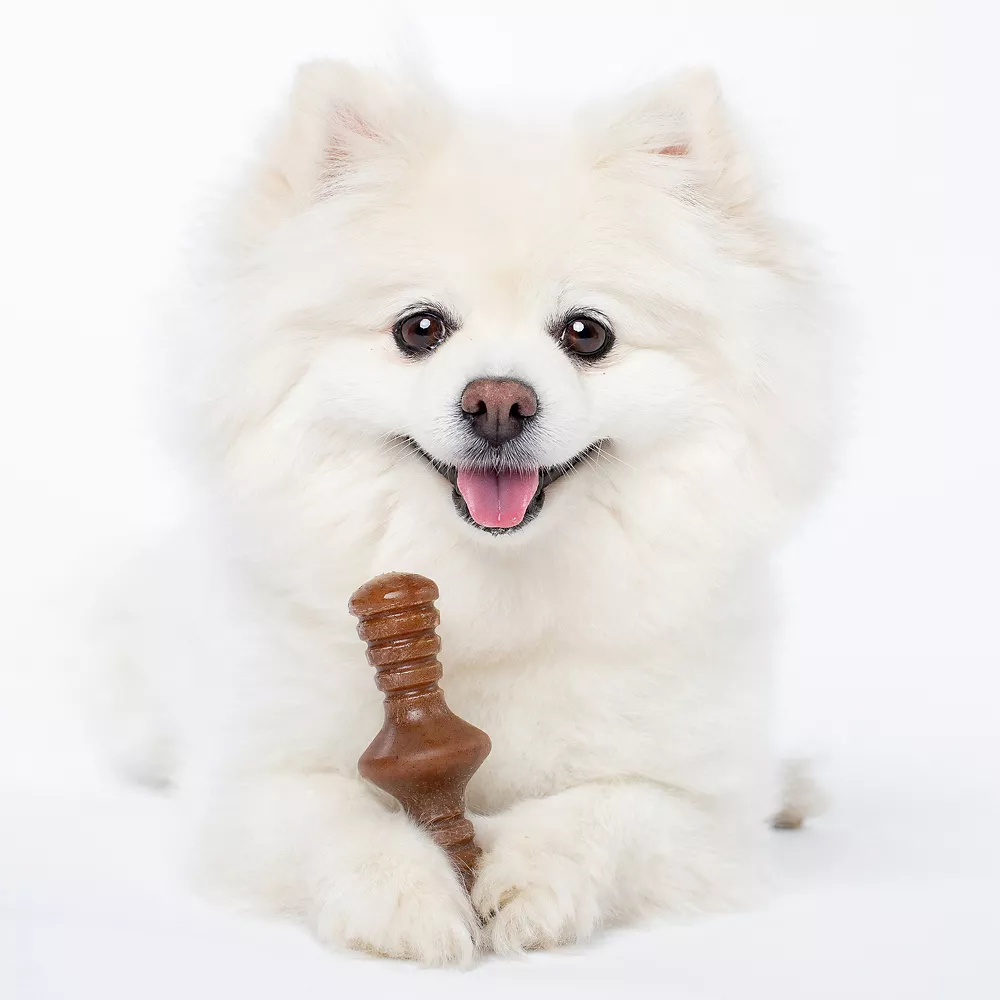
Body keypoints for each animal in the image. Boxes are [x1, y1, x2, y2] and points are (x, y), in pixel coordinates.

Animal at [94, 60, 834, 965]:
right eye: (420, 328)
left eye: (586, 333)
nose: (498, 403)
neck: (488, 588)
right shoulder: (253, 785)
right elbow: (341, 821)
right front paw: (410, 899)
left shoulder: (698, 805)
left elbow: (603, 809)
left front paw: (528, 878)